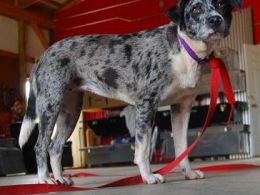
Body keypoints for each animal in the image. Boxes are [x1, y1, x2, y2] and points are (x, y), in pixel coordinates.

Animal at [19, 0, 243, 186]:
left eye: (221, 4)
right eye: (195, 9)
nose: (215, 20)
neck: (183, 50)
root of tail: (43, 55)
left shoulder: (182, 108)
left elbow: (182, 148)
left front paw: (188, 173)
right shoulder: (146, 105)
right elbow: (142, 150)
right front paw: (149, 177)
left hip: (70, 112)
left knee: (54, 148)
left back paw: (60, 179)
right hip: (50, 107)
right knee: (40, 146)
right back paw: (45, 179)